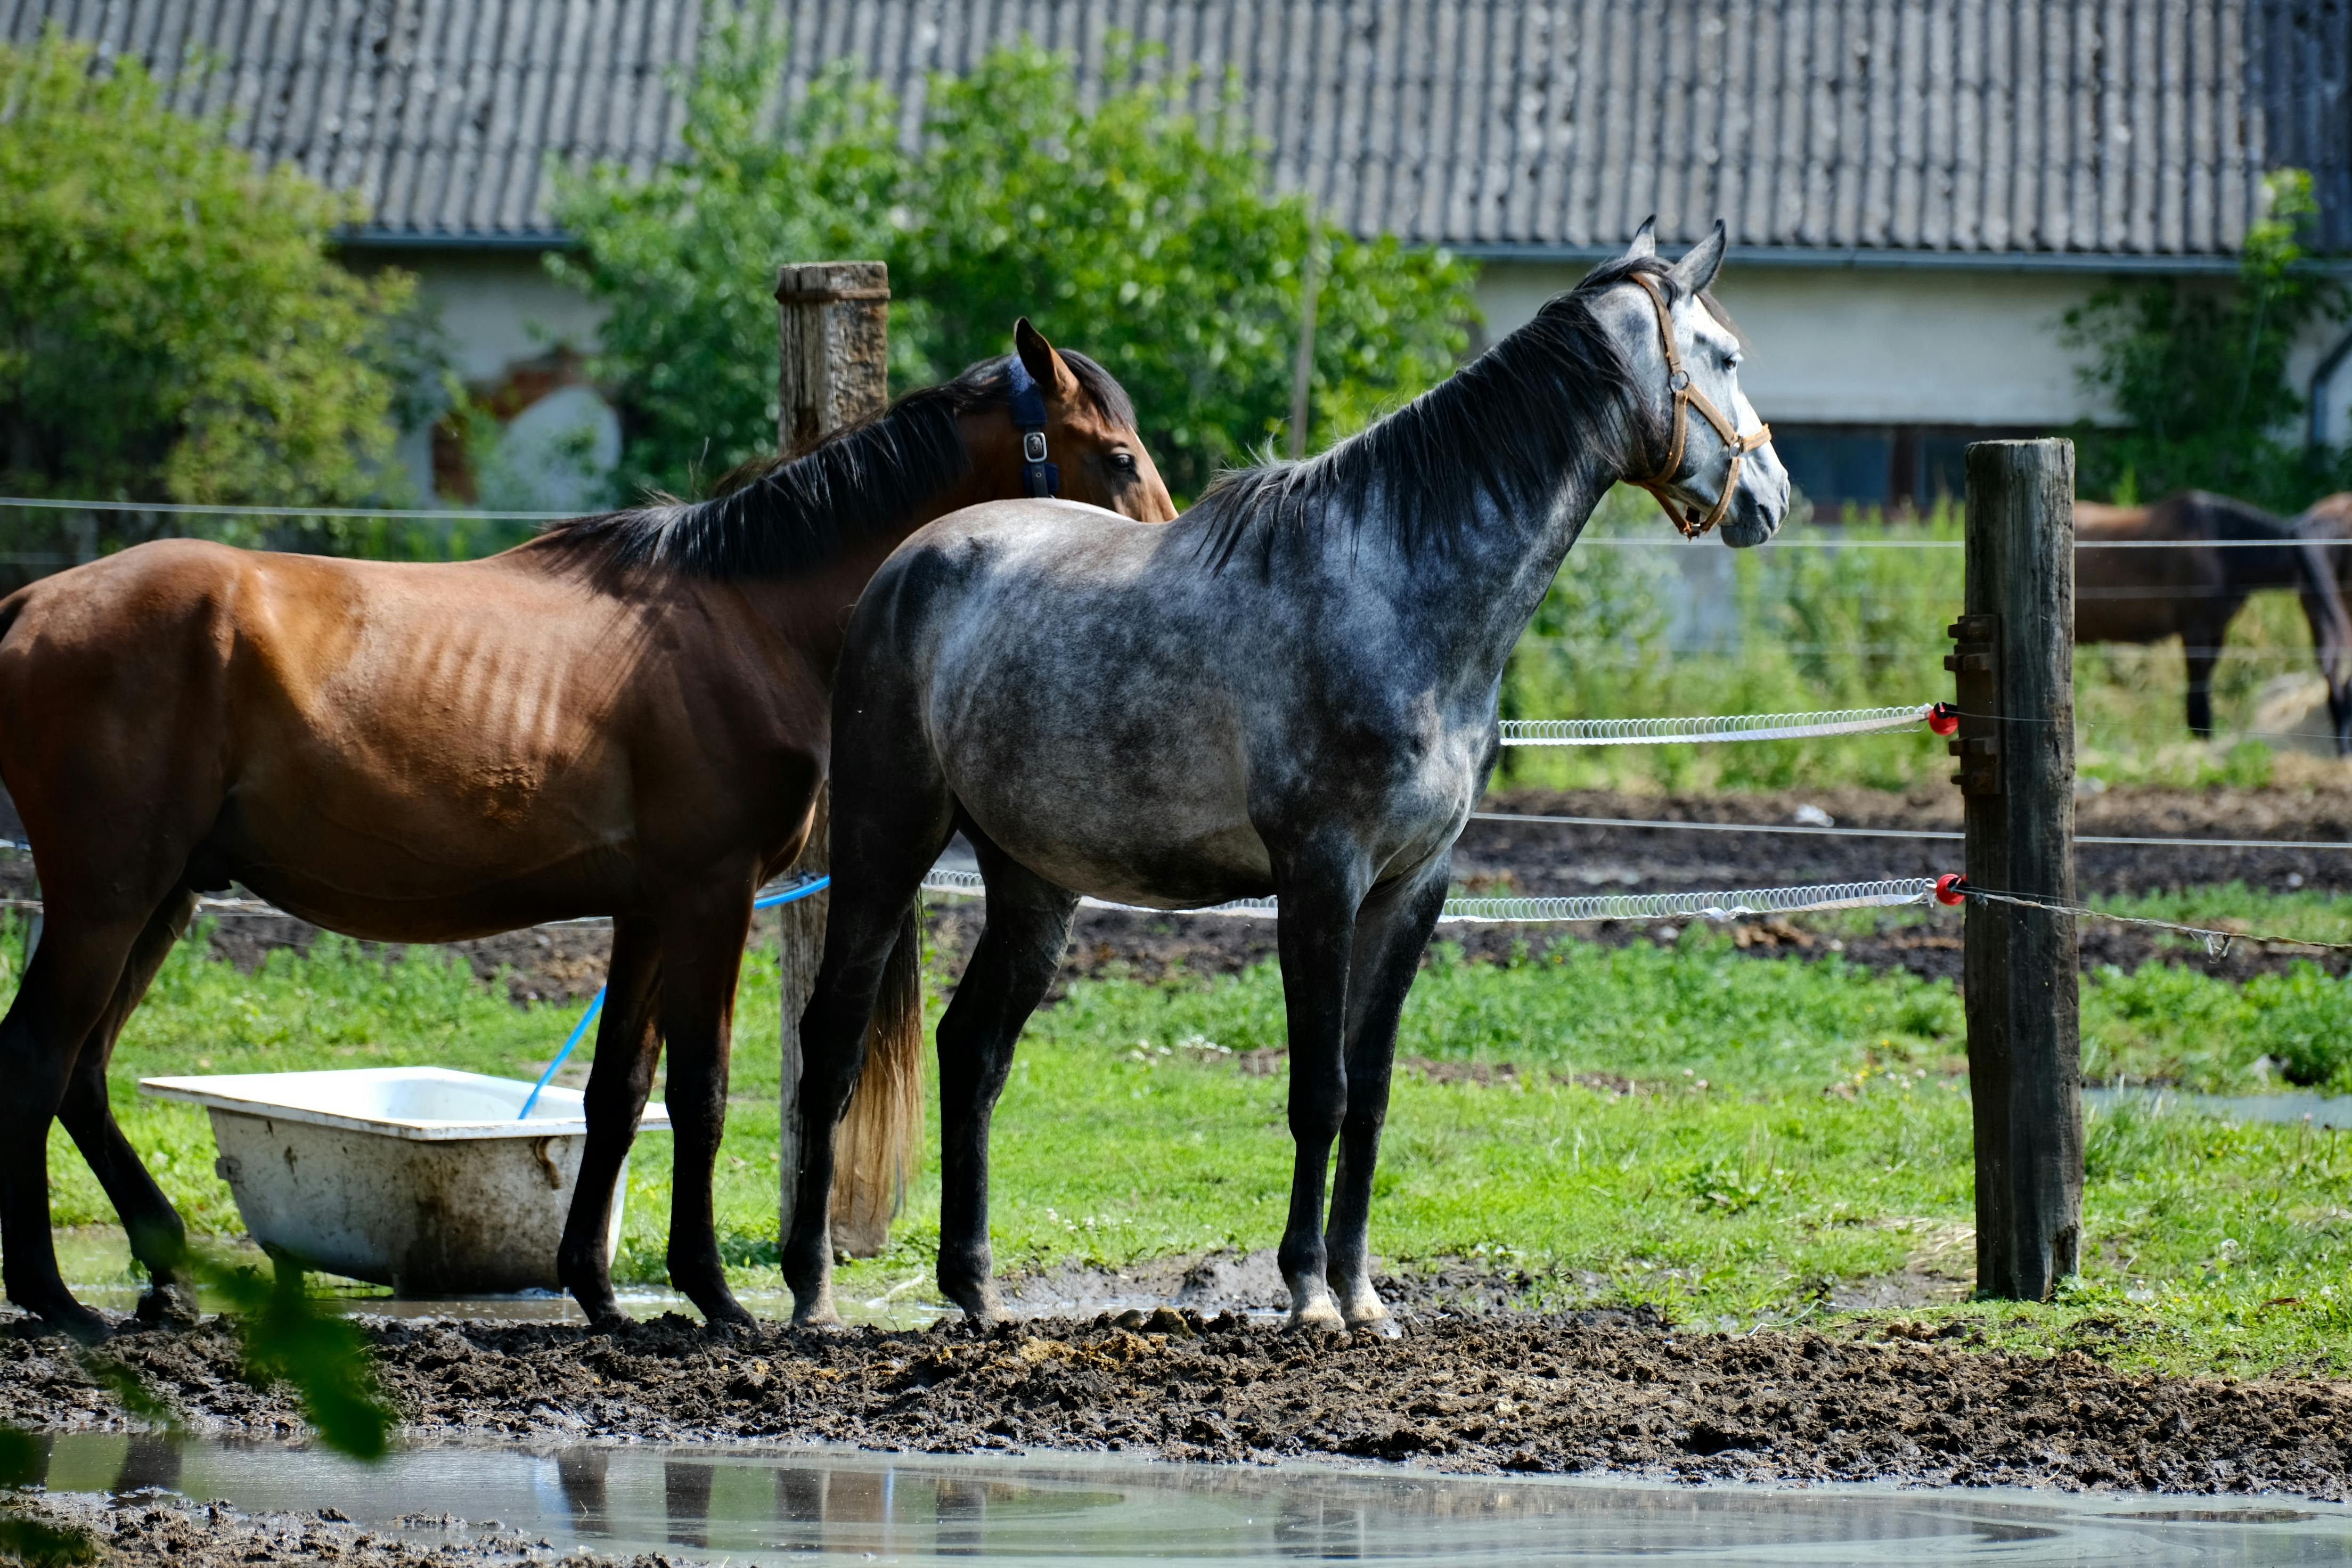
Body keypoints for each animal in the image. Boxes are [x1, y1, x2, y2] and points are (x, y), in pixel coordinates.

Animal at [0, 323, 1175, 1340]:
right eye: (1117, 455)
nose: (1161, 563)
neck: (743, 619)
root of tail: (28, 605)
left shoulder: (647, 911)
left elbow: (617, 1094)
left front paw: (599, 1287)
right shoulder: (711, 897)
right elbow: (701, 1089)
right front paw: (712, 1290)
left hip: (162, 896)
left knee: (84, 1072)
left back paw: (162, 1272)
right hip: (107, 898)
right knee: (39, 1056)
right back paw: (55, 1295)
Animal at [781, 220, 1788, 1333]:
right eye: (1724, 354)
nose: (1771, 497)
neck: (1398, 593)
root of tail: (903, 567)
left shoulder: (1414, 886)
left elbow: (1373, 1088)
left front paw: (1363, 1292)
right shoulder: (1319, 877)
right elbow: (1320, 1090)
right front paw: (1308, 1290)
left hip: (1034, 877)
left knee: (972, 1050)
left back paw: (974, 1288)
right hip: (887, 839)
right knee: (830, 1039)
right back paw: (811, 1289)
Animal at [2074, 491, 2352, 753]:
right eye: (2312, 588)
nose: (2343, 743)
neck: (2219, 550)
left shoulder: (2217, 630)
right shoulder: (2195, 630)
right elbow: (2198, 689)